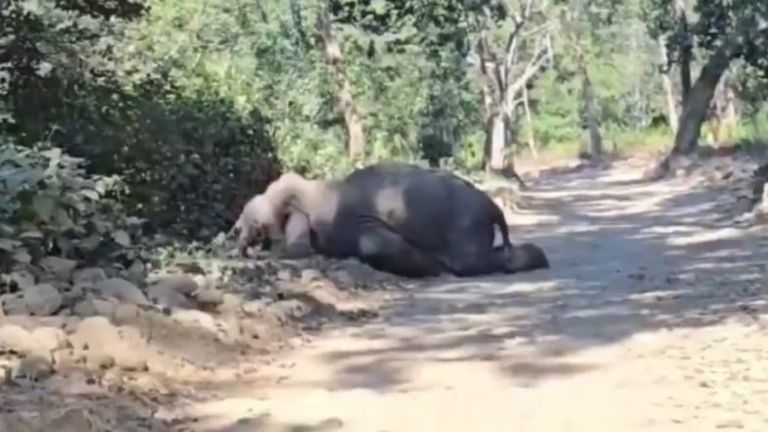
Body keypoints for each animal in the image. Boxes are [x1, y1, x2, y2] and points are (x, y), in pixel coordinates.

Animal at [231, 160, 548, 278]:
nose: (237, 235)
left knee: (469, 263)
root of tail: (493, 206)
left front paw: (434, 268)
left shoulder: (349, 221)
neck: (312, 189)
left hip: (466, 224)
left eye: (252, 220)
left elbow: (374, 247)